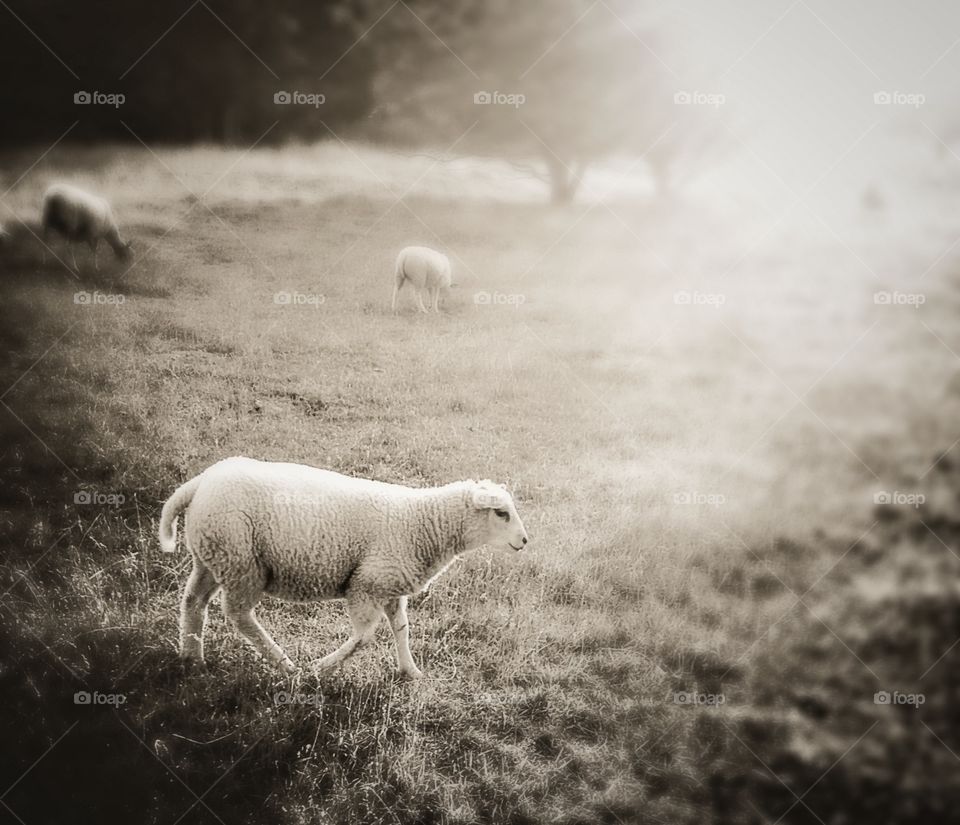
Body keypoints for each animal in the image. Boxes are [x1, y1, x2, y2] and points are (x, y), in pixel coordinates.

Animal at [159, 456, 529, 678]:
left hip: (212, 556)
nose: (525, 541)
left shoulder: (391, 586)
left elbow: (402, 629)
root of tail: (199, 483)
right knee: (238, 614)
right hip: (240, 561)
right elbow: (364, 638)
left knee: (193, 603)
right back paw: (285, 664)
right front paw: (321, 667)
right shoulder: (366, 585)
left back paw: (192, 658)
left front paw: (410, 671)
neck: (425, 523)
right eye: (501, 513)